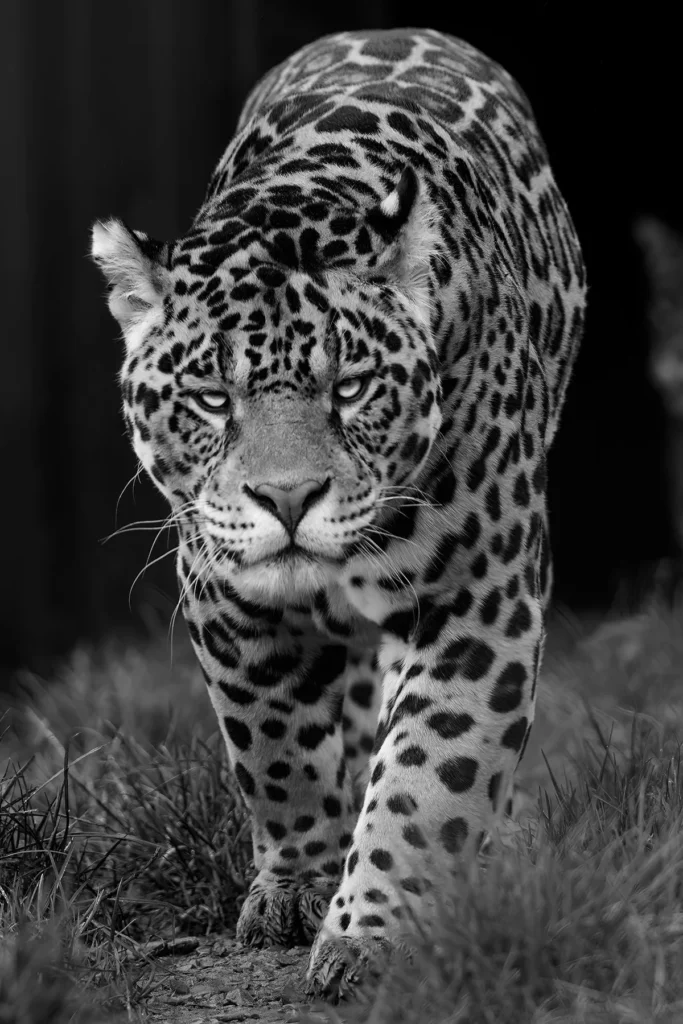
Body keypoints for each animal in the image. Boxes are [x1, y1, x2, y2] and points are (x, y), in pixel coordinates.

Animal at [91, 27, 586, 998]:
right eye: (211, 399)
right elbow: (274, 750)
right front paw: (298, 885)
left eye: (350, 388)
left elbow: (430, 772)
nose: (287, 498)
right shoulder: (225, 596)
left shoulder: (477, 599)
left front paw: (374, 932)